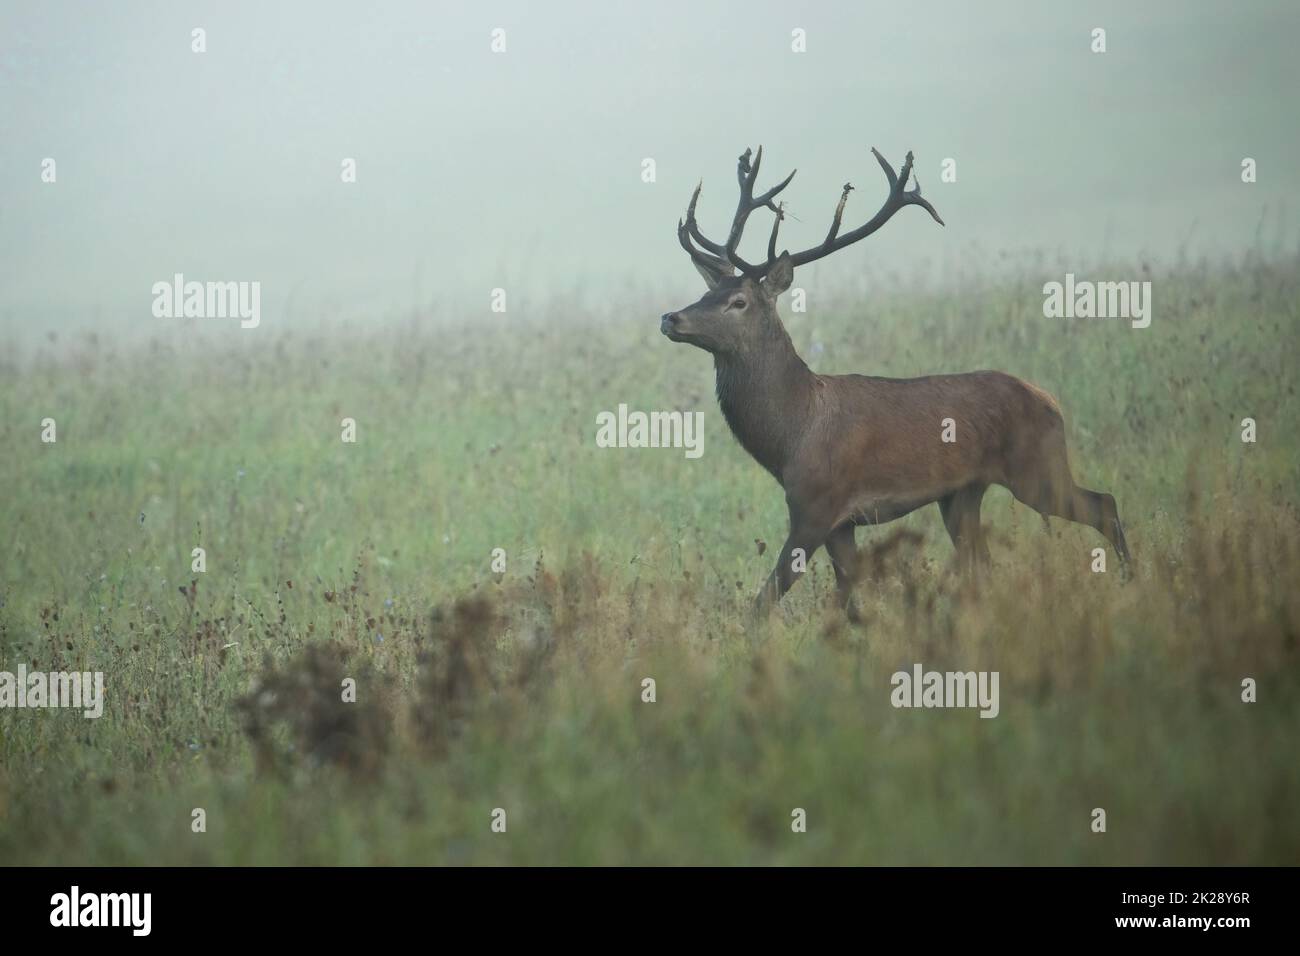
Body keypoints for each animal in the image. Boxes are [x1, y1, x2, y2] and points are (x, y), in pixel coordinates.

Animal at [660, 143, 1128, 621]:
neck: (792, 435)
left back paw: (1132, 580)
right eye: (706, 293)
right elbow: (851, 599)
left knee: (1104, 504)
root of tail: (1049, 399)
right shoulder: (841, 523)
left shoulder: (817, 504)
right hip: (962, 493)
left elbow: (767, 598)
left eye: (738, 301)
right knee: (982, 562)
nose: (670, 318)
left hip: (1035, 468)